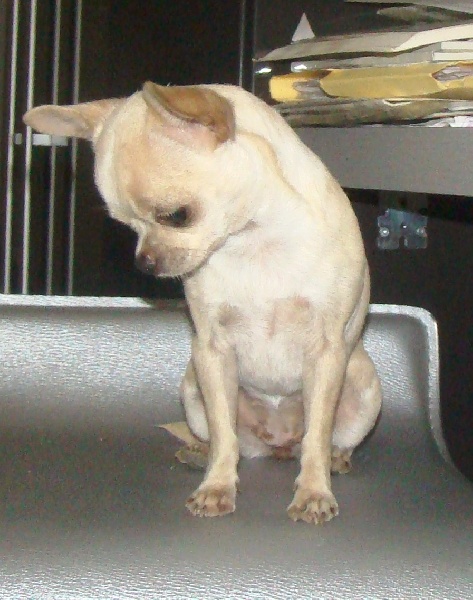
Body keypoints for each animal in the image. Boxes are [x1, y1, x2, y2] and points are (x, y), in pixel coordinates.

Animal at [23, 82, 382, 523]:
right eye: (126, 227)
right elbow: (224, 434)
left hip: (364, 387)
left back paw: (336, 458)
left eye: (177, 216)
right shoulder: (212, 351)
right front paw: (217, 486)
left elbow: (317, 436)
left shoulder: (327, 351)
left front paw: (313, 492)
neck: (254, 243)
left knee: (320, 440)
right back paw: (199, 452)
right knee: (228, 438)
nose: (144, 261)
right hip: (193, 388)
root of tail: (279, 441)